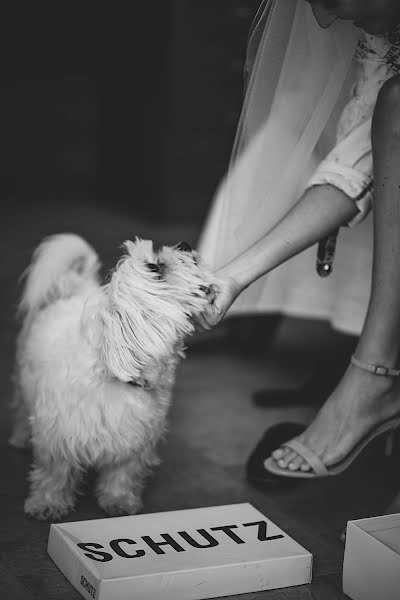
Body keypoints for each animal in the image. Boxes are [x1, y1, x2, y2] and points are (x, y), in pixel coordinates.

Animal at [9, 234, 217, 520]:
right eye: (154, 268)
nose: (184, 245)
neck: (117, 375)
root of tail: (76, 288)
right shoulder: (57, 439)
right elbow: (54, 475)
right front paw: (46, 503)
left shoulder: (134, 442)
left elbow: (122, 475)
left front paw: (119, 500)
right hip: (23, 378)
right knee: (20, 407)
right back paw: (20, 437)